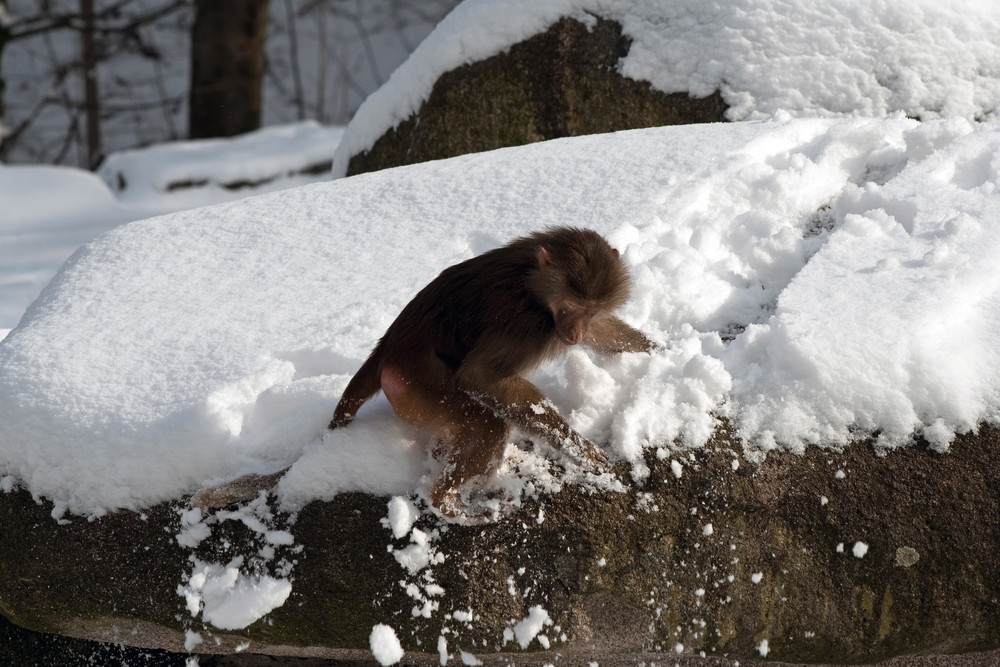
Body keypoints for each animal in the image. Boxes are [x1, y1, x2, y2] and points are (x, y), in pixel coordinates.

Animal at [328, 227, 656, 520]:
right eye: (570, 306)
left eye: (589, 310)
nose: (574, 334)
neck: (532, 283)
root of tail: (386, 352)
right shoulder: (524, 324)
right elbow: (479, 376)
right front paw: (578, 448)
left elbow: (600, 331)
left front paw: (658, 350)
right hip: (417, 385)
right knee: (486, 421)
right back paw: (450, 504)